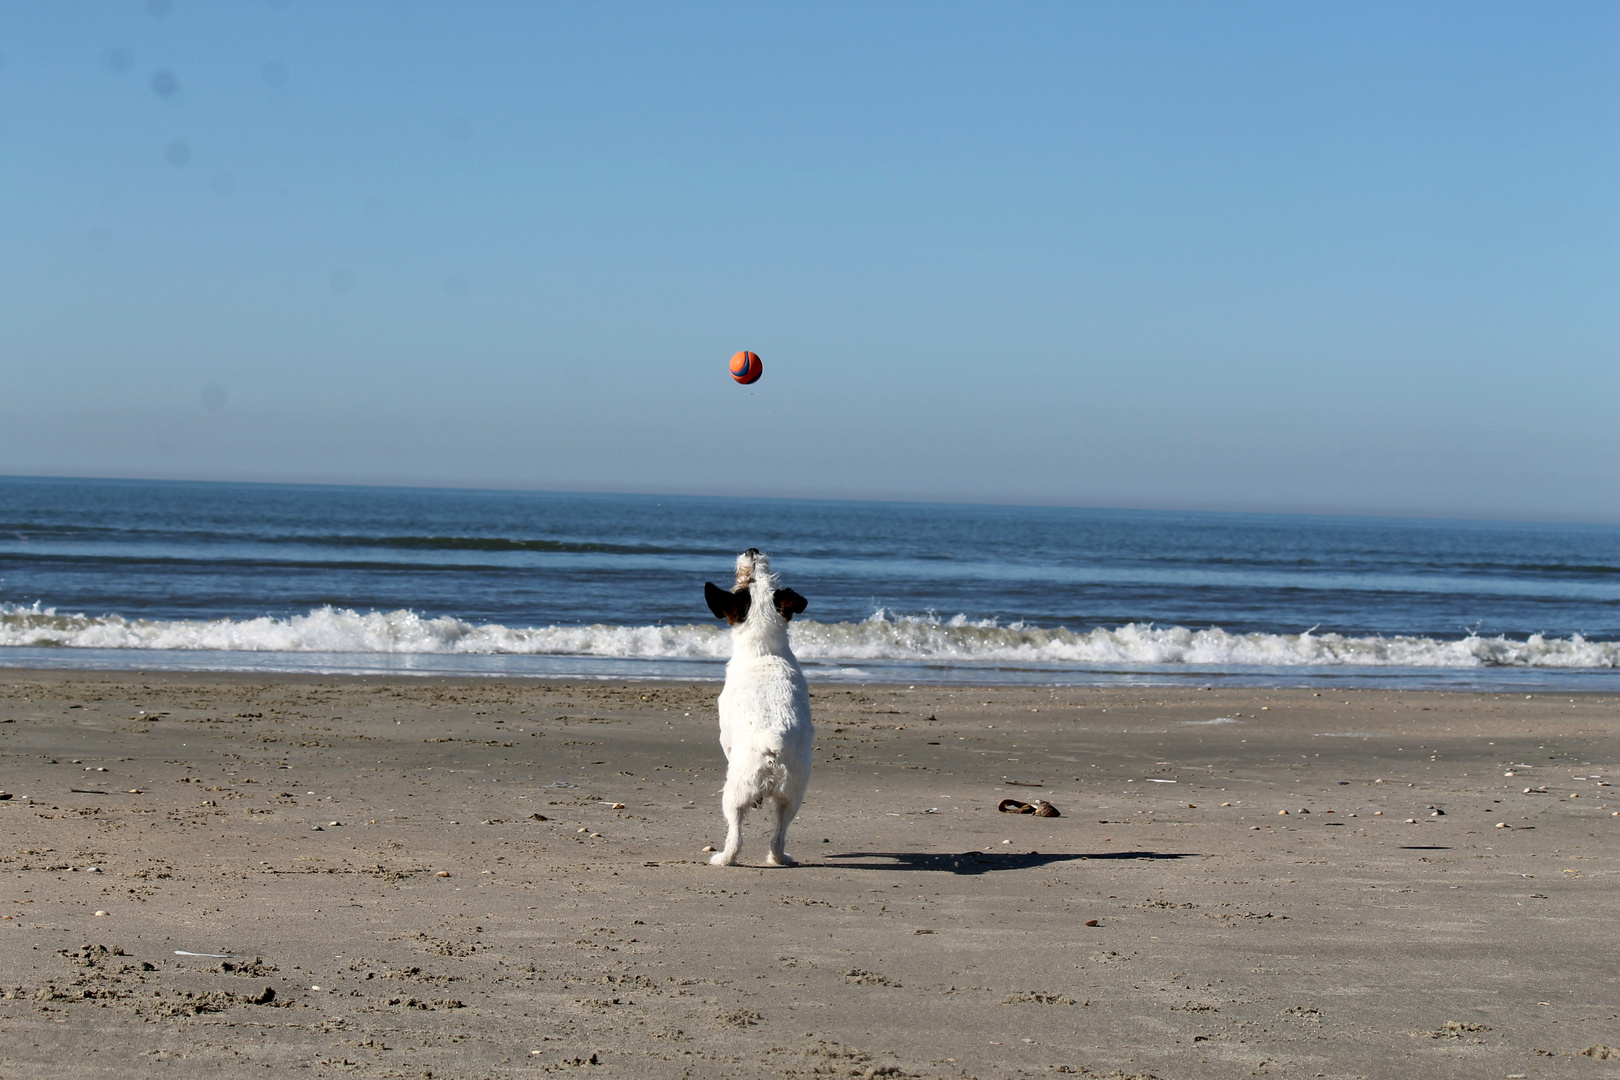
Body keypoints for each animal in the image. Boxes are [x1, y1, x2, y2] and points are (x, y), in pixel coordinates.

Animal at [706, 550, 816, 867]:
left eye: (747, 576)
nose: (752, 551)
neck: (764, 650)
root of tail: (772, 741)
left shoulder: (725, 737)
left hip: (734, 792)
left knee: (735, 835)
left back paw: (722, 858)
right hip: (791, 796)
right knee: (779, 833)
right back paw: (779, 857)